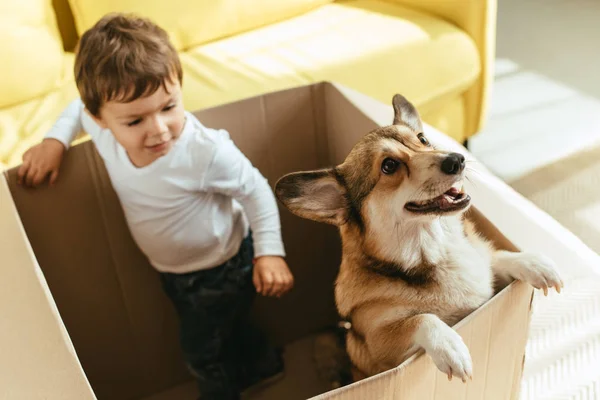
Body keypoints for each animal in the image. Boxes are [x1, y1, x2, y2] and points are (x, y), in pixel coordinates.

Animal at [274, 93, 564, 382]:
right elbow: (420, 319)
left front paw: (533, 263)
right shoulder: (382, 348)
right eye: (389, 165)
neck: (433, 250)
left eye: (423, 140)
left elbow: (496, 256)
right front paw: (450, 345)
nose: (457, 159)